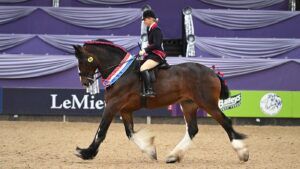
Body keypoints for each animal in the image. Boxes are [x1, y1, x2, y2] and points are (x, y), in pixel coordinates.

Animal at [72, 39, 248, 163]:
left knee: (225, 122)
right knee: (192, 129)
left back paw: (242, 152)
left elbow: (101, 131)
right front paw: (150, 151)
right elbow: (130, 133)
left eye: (83, 60)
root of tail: (212, 73)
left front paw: (86, 152)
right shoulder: (125, 110)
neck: (121, 72)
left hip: (207, 103)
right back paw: (173, 156)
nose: (85, 82)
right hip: (188, 104)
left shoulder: (113, 105)